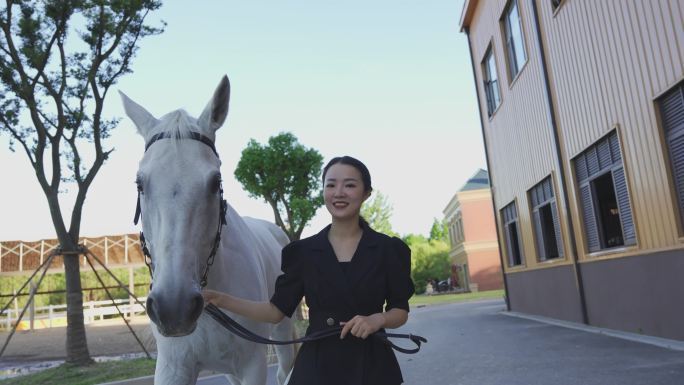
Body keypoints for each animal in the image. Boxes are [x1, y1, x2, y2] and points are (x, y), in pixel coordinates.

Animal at [121, 76, 296, 384]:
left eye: (216, 182)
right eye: (139, 183)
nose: (174, 308)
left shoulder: (252, 365)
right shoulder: (173, 367)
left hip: (281, 330)